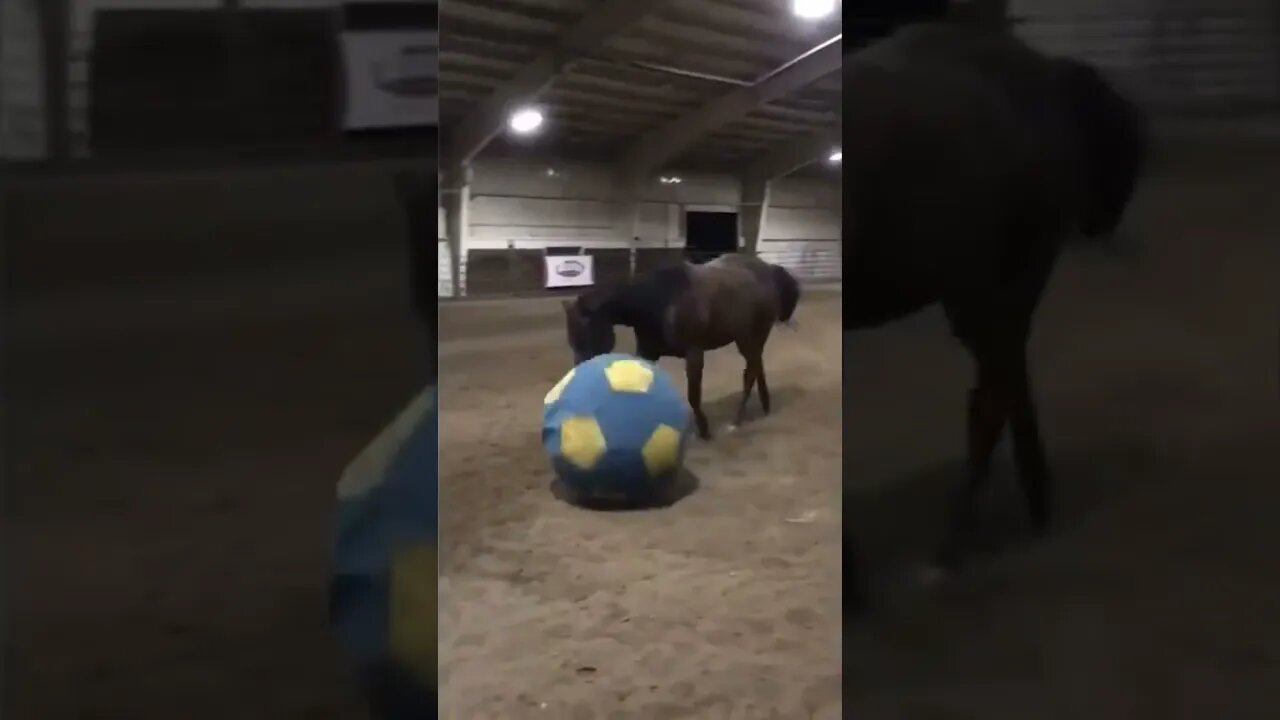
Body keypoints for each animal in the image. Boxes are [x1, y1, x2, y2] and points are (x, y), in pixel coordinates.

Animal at [563, 252, 798, 438]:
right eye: (572, 342)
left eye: (586, 336)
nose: (580, 383)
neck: (660, 301)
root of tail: (768, 270)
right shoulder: (648, 353)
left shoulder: (694, 355)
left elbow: (693, 395)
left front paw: (704, 430)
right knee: (758, 366)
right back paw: (765, 406)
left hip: (748, 339)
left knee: (750, 373)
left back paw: (737, 421)